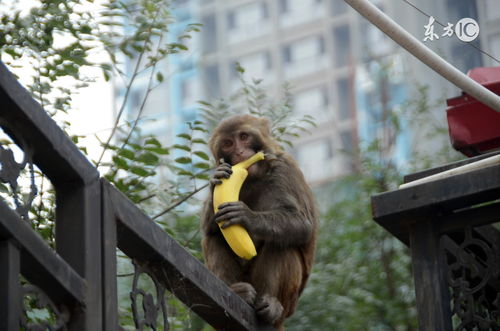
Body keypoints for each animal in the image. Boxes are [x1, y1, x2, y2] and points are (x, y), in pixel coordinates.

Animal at [199, 113, 316, 330]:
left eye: (244, 137)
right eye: (228, 143)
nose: (239, 152)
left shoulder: (284, 167)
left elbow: (302, 224)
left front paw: (247, 216)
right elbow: (209, 227)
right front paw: (216, 179)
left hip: (289, 303)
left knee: (281, 242)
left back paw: (271, 305)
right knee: (214, 236)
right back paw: (239, 292)